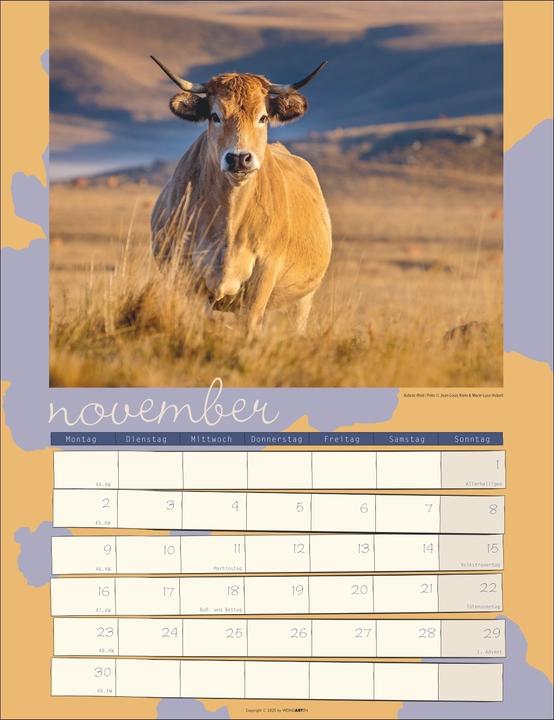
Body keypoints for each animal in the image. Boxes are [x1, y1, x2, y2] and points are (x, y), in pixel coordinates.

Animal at [150, 56, 332, 336]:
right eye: (215, 115)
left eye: (263, 117)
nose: (239, 158)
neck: (230, 222)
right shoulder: (188, 275)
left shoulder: (265, 273)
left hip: (302, 300)